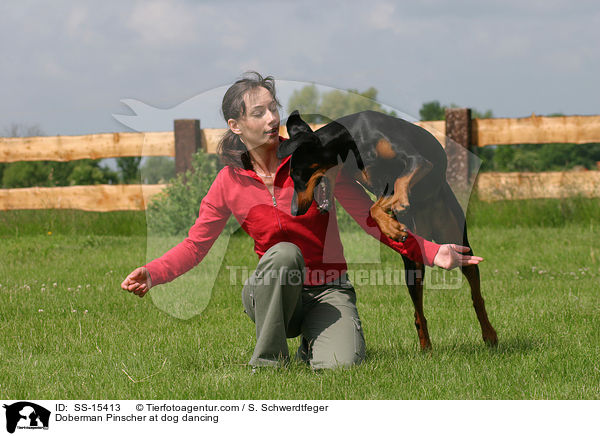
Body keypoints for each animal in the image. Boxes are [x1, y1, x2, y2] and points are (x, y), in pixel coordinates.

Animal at [276, 110, 496, 350]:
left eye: (298, 174)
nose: (294, 211)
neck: (353, 140)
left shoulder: (416, 161)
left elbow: (399, 183)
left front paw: (398, 208)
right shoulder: (376, 182)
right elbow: (374, 208)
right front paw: (392, 227)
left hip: (460, 243)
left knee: (477, 296)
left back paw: (489, 334)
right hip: (413, 263)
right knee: (419, 314)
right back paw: (426, 348)